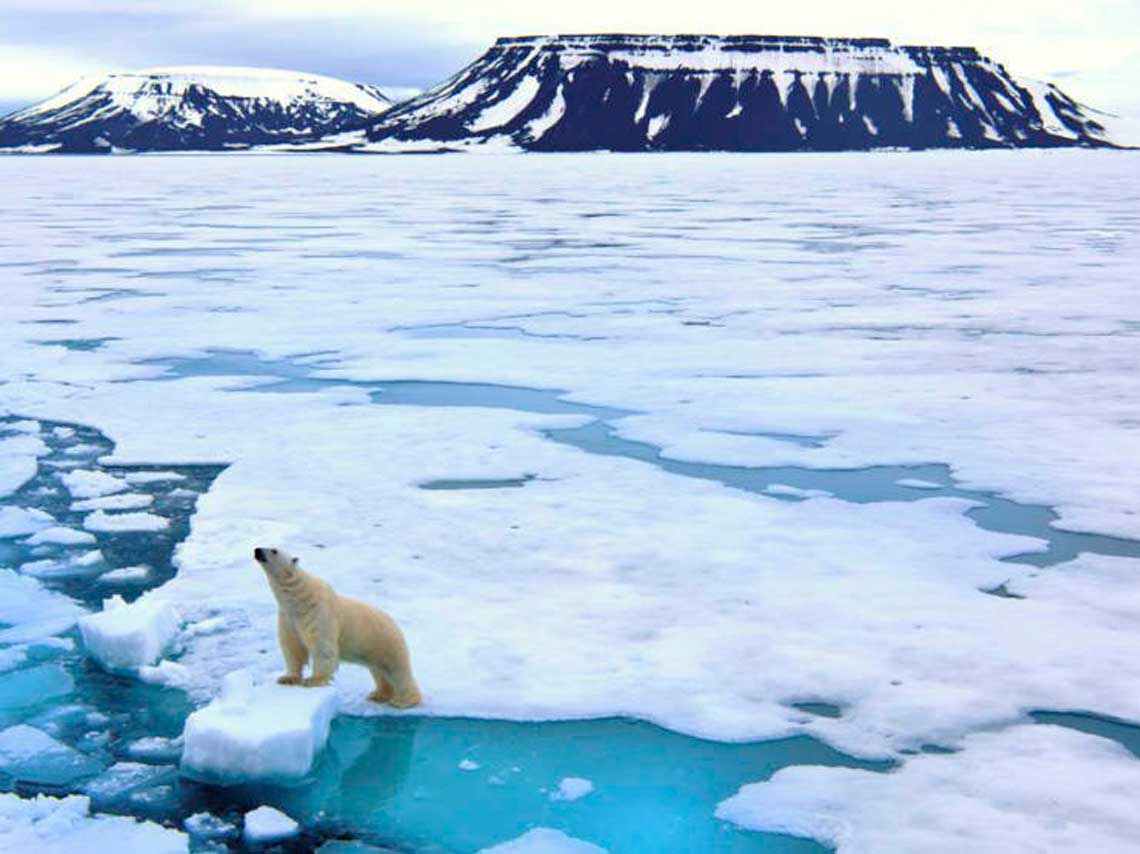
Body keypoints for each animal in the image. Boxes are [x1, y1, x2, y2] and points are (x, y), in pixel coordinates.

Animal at [254, 547, 424, 706]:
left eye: (274, 550)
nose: (257, 550)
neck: (299, 599)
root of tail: (395, 624)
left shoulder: (318, 611)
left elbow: (322, 647)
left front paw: (313, 680)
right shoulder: (288, 617)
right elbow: (292, 647)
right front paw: (287, 678)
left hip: (386, 642)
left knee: (397, 671)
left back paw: (403, 701)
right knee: (379, 671)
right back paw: (378, 695)